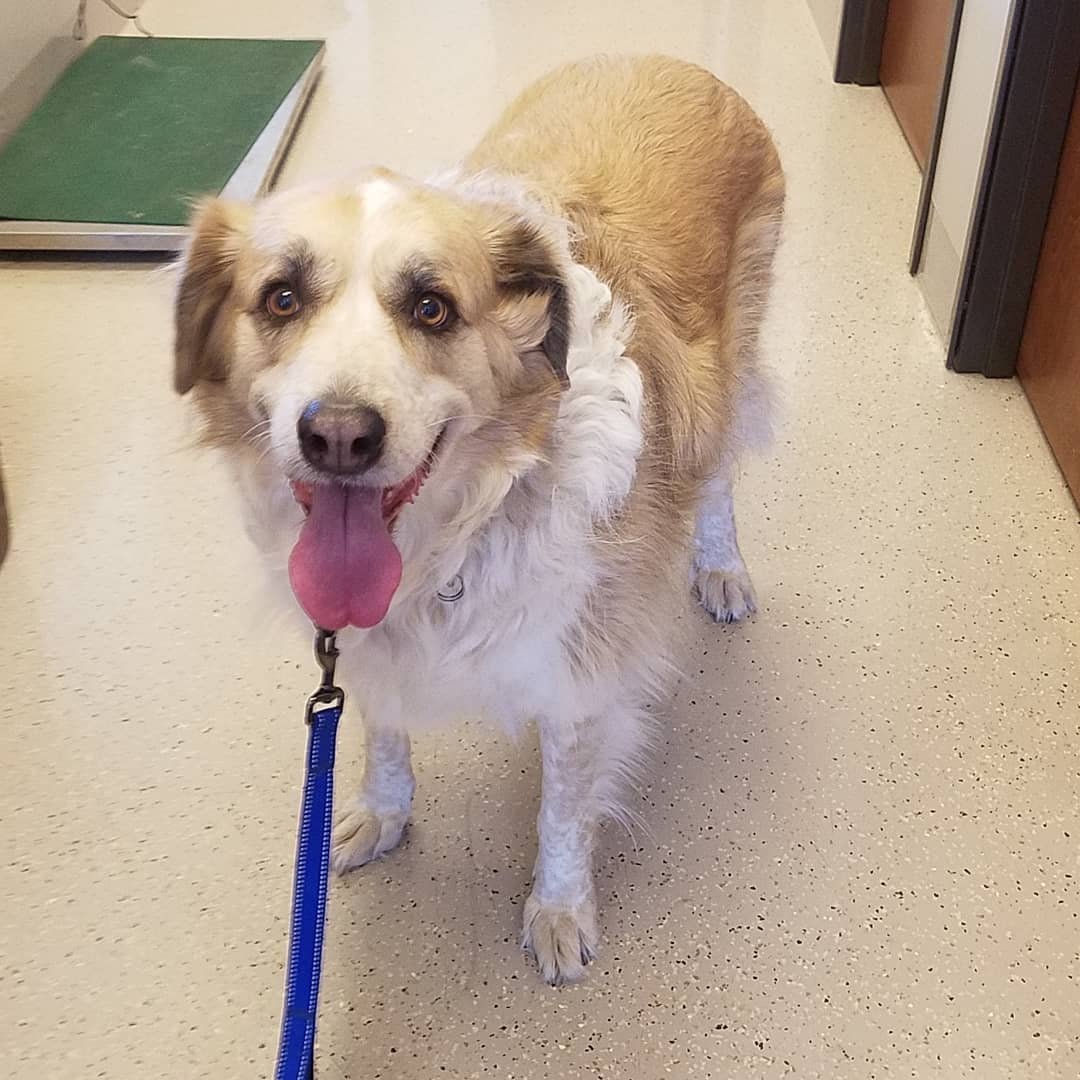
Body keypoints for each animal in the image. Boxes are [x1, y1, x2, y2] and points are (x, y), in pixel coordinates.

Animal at [174, 59, 786, 989]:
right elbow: (383, 737)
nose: (338, 435)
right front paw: (380, 815)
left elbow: (562, 813)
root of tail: (676, 62)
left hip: (727, 363)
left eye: (432, 308)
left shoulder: (581, 673)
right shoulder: (364, 646)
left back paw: (720, 567)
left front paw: (559, 912)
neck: (462, 529)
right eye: (280, 298)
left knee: (716, 473)